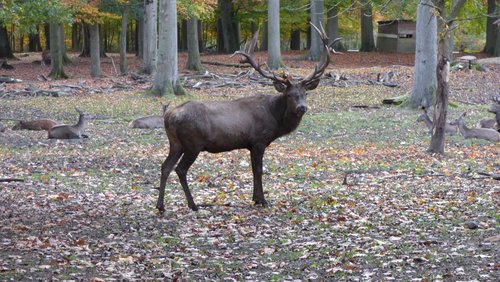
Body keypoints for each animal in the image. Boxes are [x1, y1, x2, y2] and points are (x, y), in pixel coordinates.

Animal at [156, 24, 332, 213]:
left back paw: (160, 205)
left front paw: (255, 198)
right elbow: (259, 170)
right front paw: (262, 200)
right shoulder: (258, 140)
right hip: (193, 144)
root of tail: (168, 116)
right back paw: (193, 204)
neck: (275, 121)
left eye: (305, 93)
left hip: (175, 143)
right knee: (180, 169)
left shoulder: (250, 144)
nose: (301, 108)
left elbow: (253, 170)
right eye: (289, 95)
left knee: (165, 166)